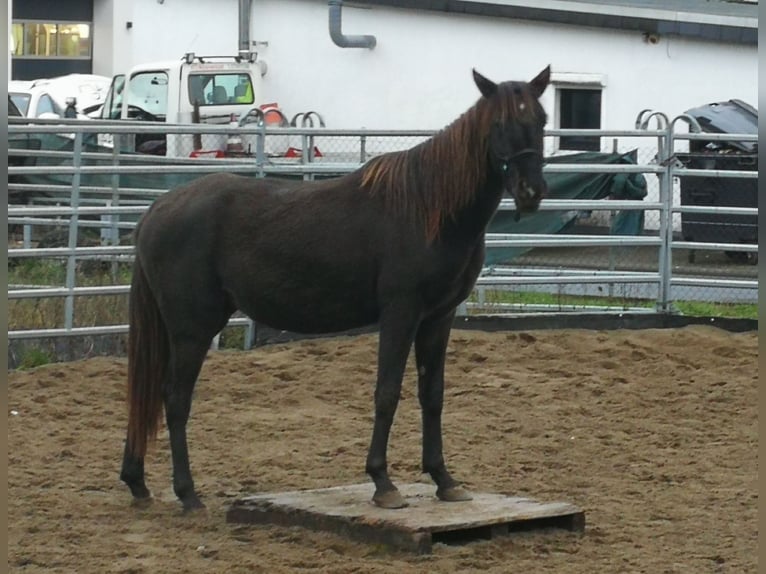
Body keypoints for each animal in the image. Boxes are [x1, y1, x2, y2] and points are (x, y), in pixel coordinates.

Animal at [121, 67, 552, 512]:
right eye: (499, 124)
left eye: (541, 120)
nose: (531, 192)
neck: (429, 207)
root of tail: (157, 210)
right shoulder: (401, 313)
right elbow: (387, 392)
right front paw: (383, 482)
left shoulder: (439, 317)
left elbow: (432, 395)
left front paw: (443, 479)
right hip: (192, 329)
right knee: (174, 399)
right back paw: (187, 493)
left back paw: (138, 483)